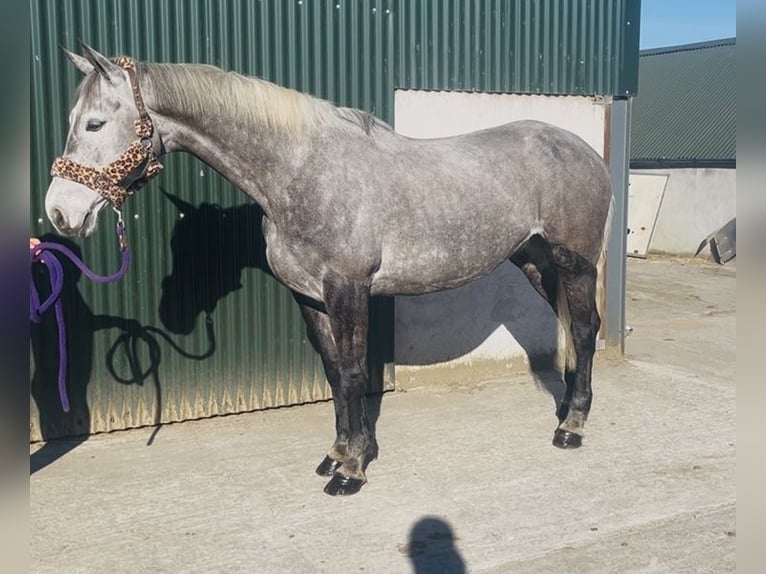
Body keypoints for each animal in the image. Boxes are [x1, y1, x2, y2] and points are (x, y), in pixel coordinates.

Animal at [44, 44, 613, 496]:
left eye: (95, 123)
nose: (59, 213)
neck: (302, 172)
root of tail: (584, 151)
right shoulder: (309, 296)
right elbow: (336, 373)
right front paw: (336, 455)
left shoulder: (348, 289)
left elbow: (357, 372)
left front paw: (353, 470)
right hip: (536, 261)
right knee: (573, 328)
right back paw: (567, 408)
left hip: (574, 261)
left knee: (585, 331)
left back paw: (572, 427)